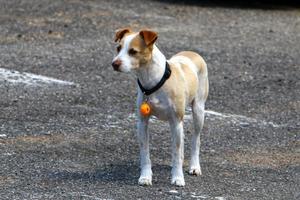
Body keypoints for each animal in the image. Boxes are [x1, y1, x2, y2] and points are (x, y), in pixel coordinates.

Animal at [110, 27, 209, 186]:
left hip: (198, 111)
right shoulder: (142, 122)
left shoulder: (176, 121)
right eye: (118, 48)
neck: (155, 81)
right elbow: (145, 153)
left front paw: (178, 177)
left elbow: (176, 152)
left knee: (195, 140)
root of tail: (193, 53)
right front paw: (145, 177)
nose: (115, 63)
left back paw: (194, 167)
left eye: (133, 51)